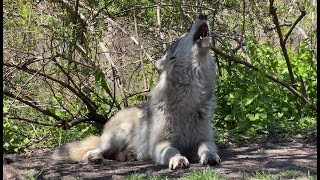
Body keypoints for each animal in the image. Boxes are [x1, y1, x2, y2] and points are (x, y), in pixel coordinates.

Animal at [53, 13, 222, 169]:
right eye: (186, 31)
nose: (203, 14)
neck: (189, 99)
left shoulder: (204, 139)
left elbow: (206, 148)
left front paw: (210, 157)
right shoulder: (160, 144)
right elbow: (172, 151)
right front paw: (178, 159)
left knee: (114, 154)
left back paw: (130, 155)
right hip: (117, 137)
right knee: (94, 152)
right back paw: (95, 157)